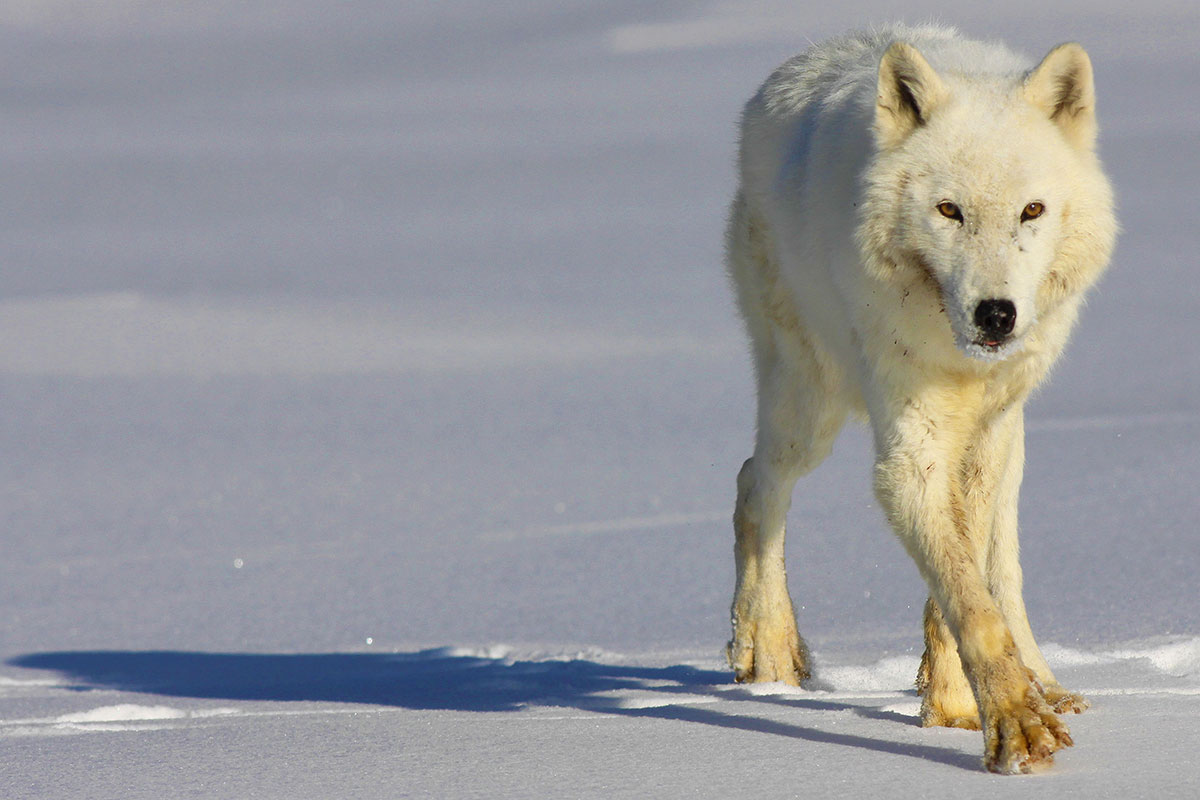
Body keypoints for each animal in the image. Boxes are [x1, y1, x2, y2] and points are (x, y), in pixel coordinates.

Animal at [724, 26, 1118, 777]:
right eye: (948, 211)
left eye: (1031, 210)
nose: (997, 315)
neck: (955, 355)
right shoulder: (910, 454)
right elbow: (968, 599)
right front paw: (1011, 725)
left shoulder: (984, 433)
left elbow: (970, 577)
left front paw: (958, 704)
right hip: (808, 407)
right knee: (754, 484)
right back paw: (768, 651)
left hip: (1010, 435)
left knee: (1005, 563)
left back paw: (1049, 681)